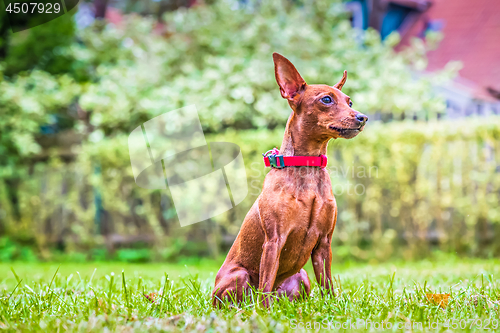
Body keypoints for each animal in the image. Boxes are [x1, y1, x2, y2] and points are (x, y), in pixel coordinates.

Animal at [211, 52, 368, 306]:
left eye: (349, 102)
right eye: (326, 100)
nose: (363, 117)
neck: (307, 167)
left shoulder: (324, 242)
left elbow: (327, 285)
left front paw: (331, 307)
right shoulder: (274, 240)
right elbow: (265, 284)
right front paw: (263, 312)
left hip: (302, 276)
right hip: (239, 276)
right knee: (251, 296)